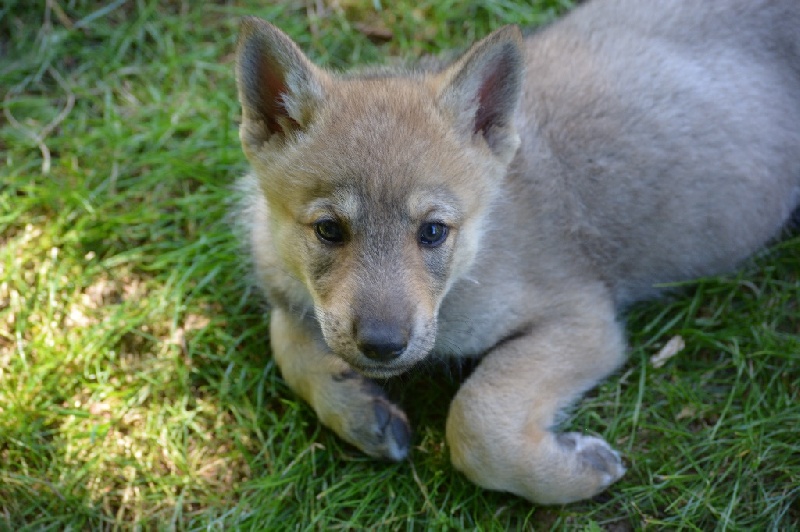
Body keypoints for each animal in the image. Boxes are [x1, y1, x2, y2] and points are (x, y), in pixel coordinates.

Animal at [232, 0, 800, 504]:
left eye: (433, 232)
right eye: (329, 229)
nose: (382, 346)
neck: (475, 261)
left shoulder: (583, 321)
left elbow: (476, 421)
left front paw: (576, 471)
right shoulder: (289, 294)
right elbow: (288, 341)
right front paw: (356, 408)